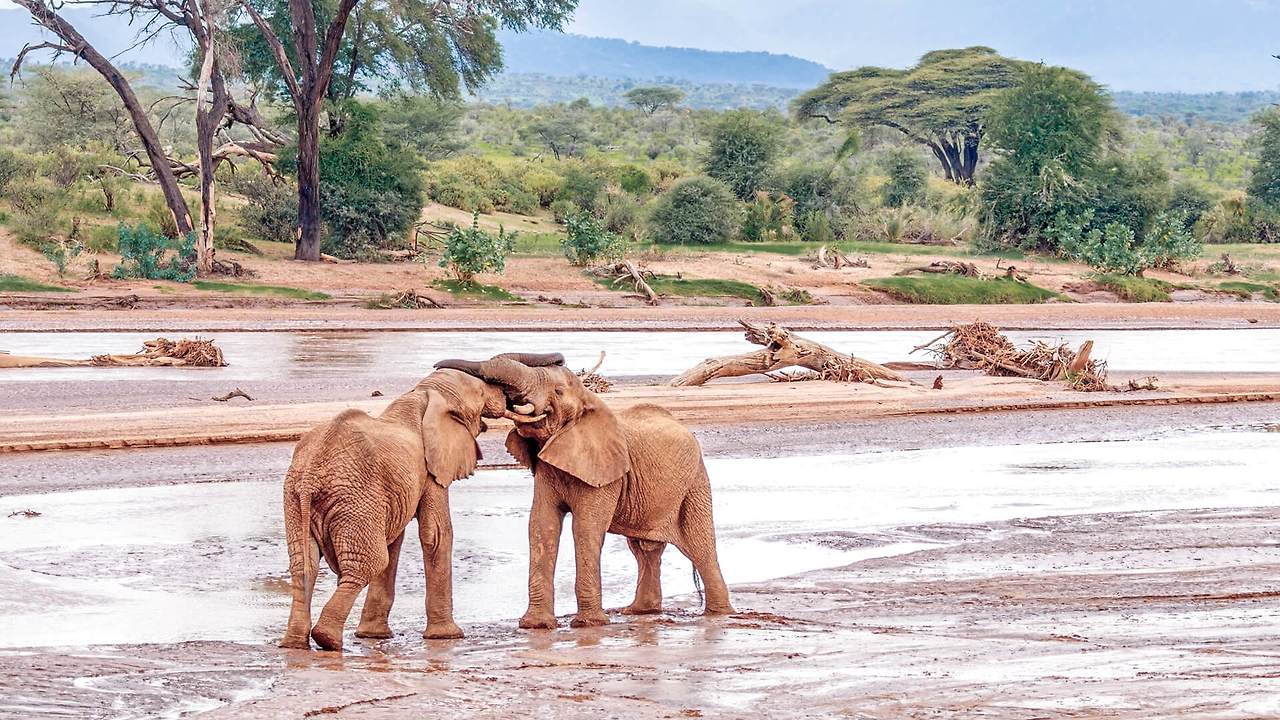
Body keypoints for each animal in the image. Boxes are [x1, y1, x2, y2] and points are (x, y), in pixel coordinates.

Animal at [278, 357, 562, 651]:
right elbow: (435, 533)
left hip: (301, 500)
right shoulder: (430, 469)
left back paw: (294, 644)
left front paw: (375, 636)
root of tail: (311, 477)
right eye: (481, 393)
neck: (425, 393)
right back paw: (328, 640)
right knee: (367, 563)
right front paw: (447, 637)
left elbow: (397, 540)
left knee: (304, 565)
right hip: (350, 499)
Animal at [435, 353, 734, 629]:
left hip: (695, 482)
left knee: (700, 545)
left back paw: (719, 615)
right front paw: (536, 626)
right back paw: (640, 612)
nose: (436, 367)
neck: (587, 404)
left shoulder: (605, 471)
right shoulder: (547, 469)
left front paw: (588, 624)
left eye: (557, 392)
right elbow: (542, 526)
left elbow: (586, 528)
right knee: (644, 550)